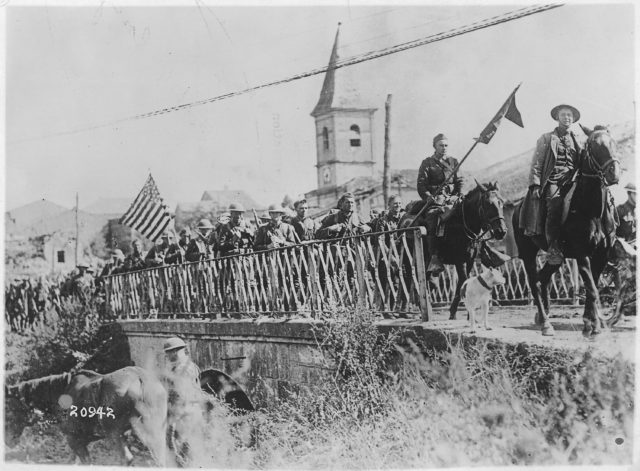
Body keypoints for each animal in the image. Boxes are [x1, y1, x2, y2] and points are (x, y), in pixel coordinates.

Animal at [5, 366, 170, 466]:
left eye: (9, 410)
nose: (8, 441)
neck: (60, 392)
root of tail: (140, 378)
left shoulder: (73, 439)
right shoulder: (79, 441)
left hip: (118, 434)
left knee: (127, 459)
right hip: (155, 432)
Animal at [400, 183, 510, 318]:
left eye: (501, 202)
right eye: (488, 203)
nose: (502, 231)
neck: (462, 222)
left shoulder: (469, 260)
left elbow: (463, 282)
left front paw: (457, 311)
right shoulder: (460, 260)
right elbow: (463, 280)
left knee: (427, 280)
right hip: (410, 258)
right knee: (410, 279)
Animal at [512, 127, 624, 338]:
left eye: (613, 142)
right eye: (593, 145)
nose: (614, 173)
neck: (591, 210)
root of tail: (518, 207)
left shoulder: (601, 255)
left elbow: (592, 287)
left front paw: (589, 323)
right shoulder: (582, 254)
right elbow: (592, 289)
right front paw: (594, 326)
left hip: (558, 257)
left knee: (543, 279)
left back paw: (542, 317)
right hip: (528, 254)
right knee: (534, 283)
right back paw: (546, 324)